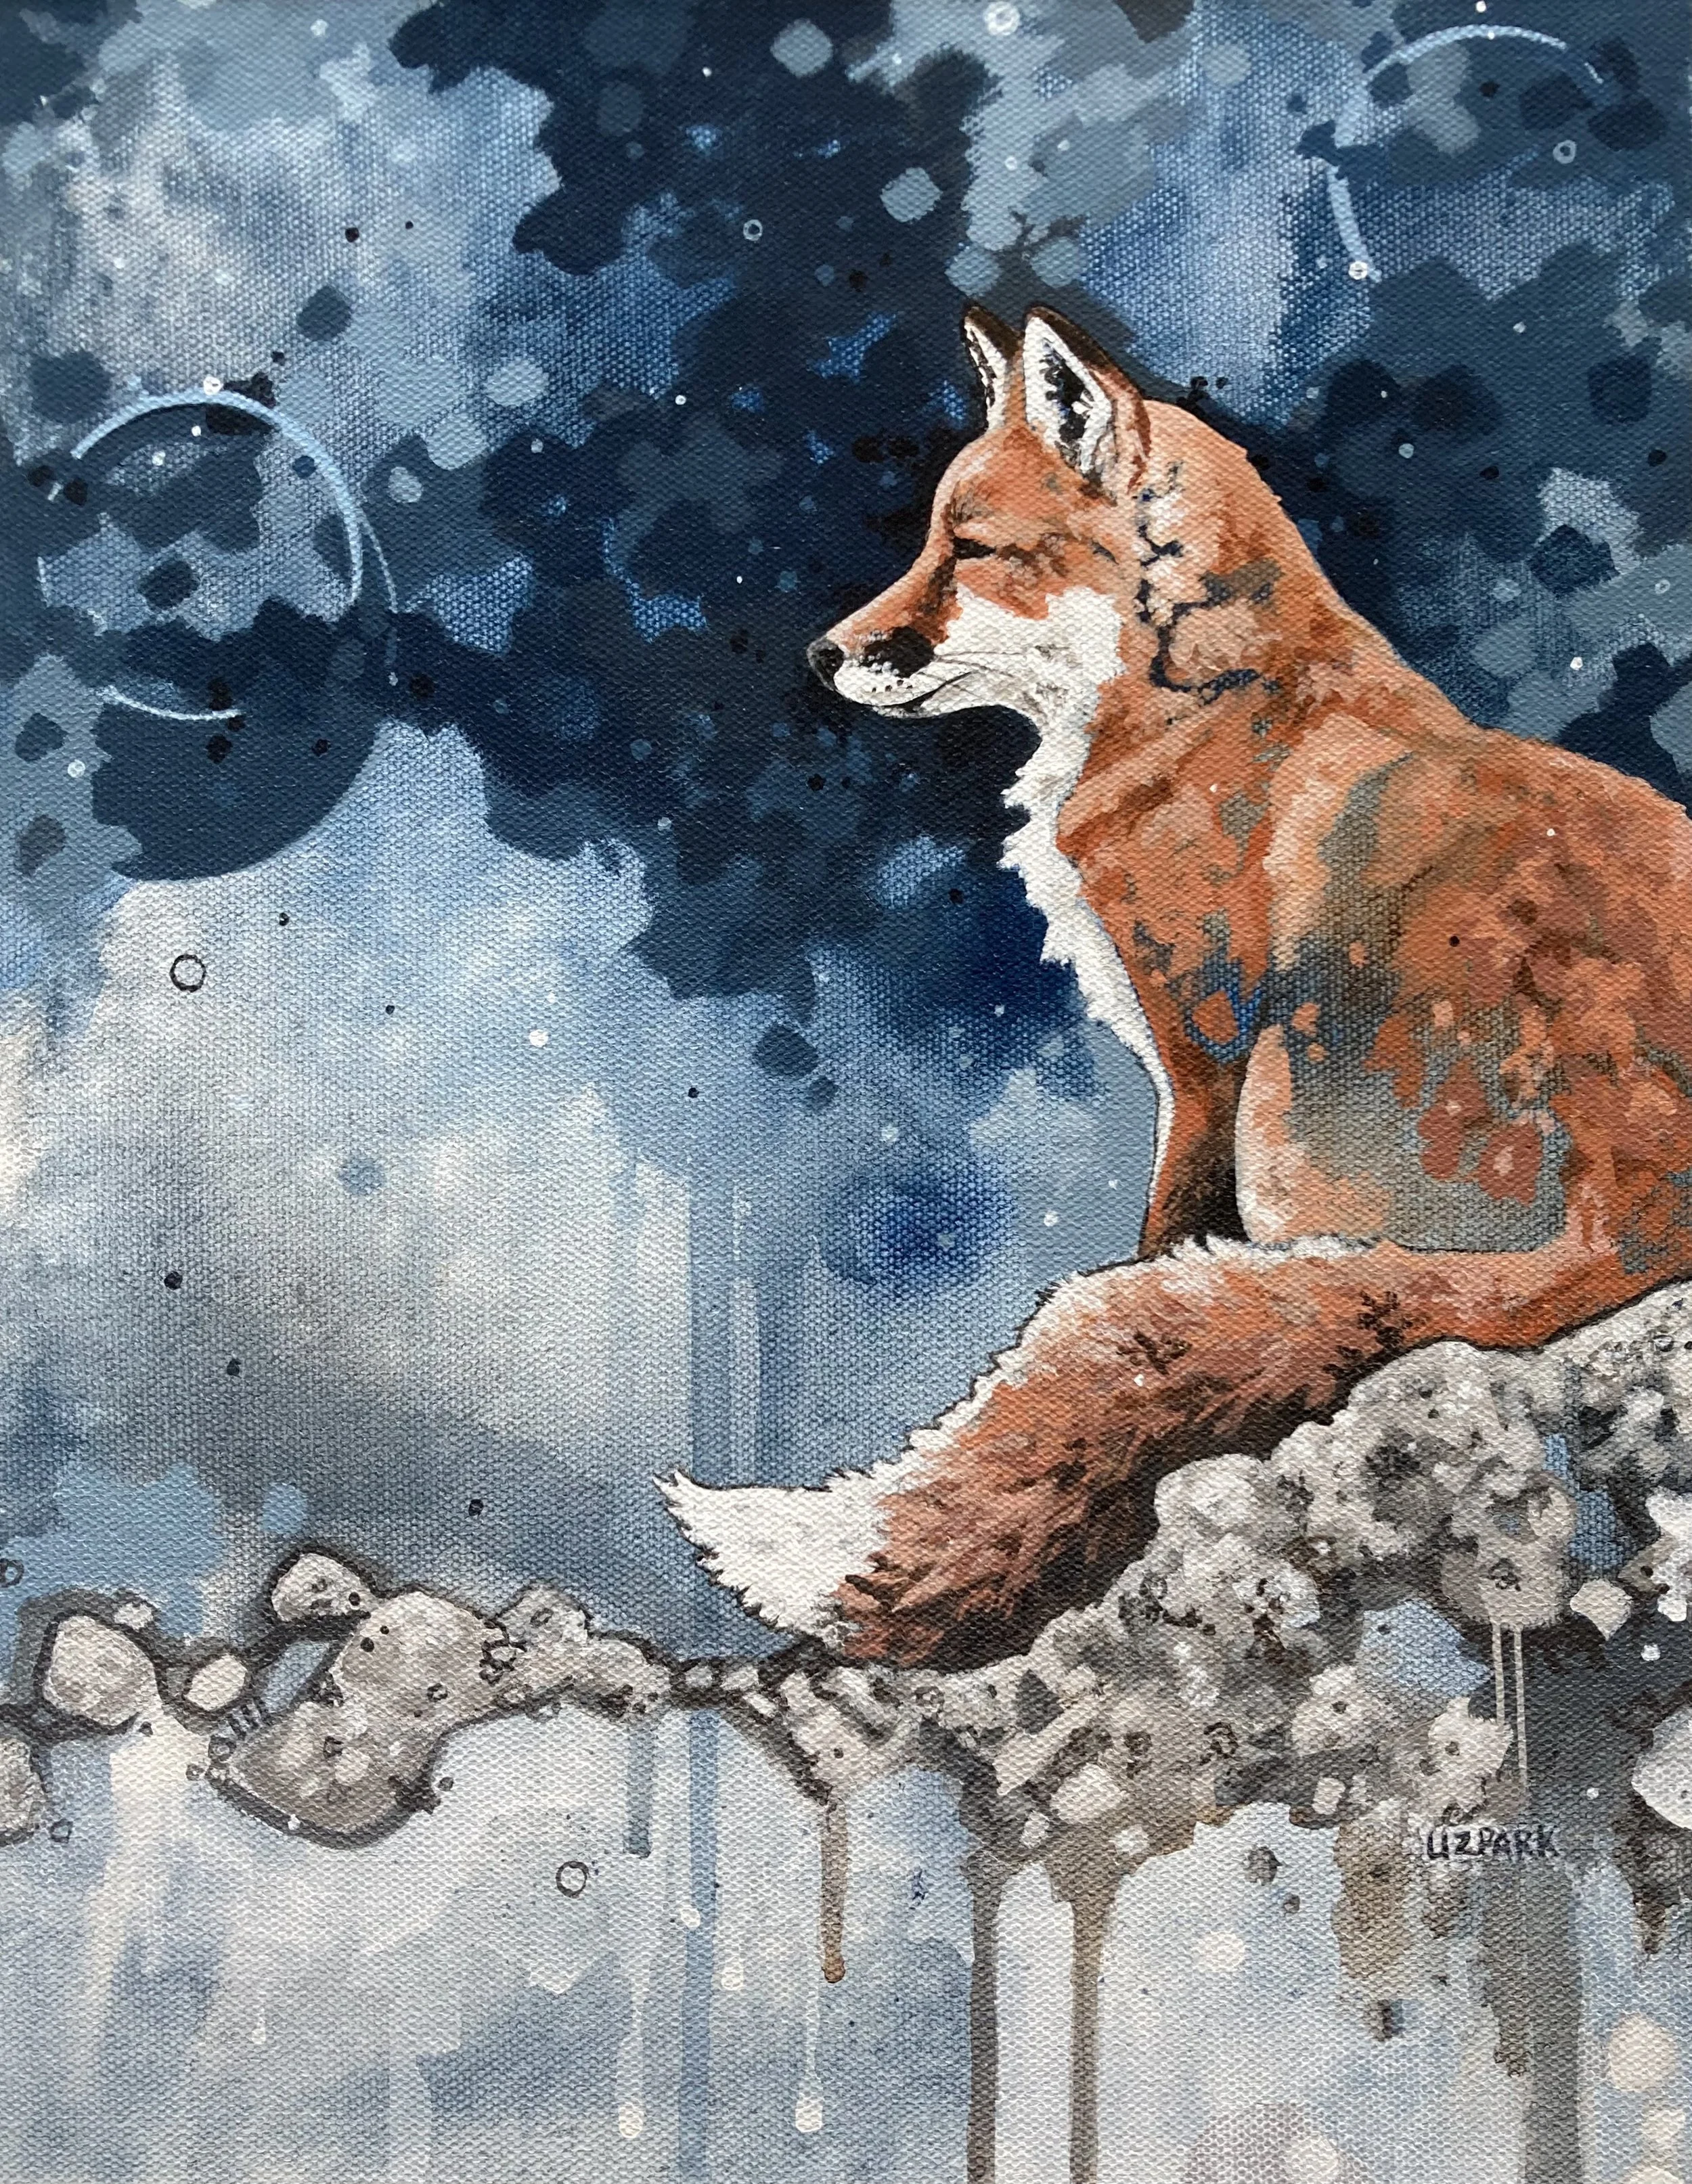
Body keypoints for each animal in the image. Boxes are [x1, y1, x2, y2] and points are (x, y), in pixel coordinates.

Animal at [663, 304, 1692, 1671]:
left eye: (970, 550)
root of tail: (1639, 1210)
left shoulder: (1202, 1060)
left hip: (1288, 1116)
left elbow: (1164, 1244)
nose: (827, 653)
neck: (1198, 700)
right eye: (930, 539)